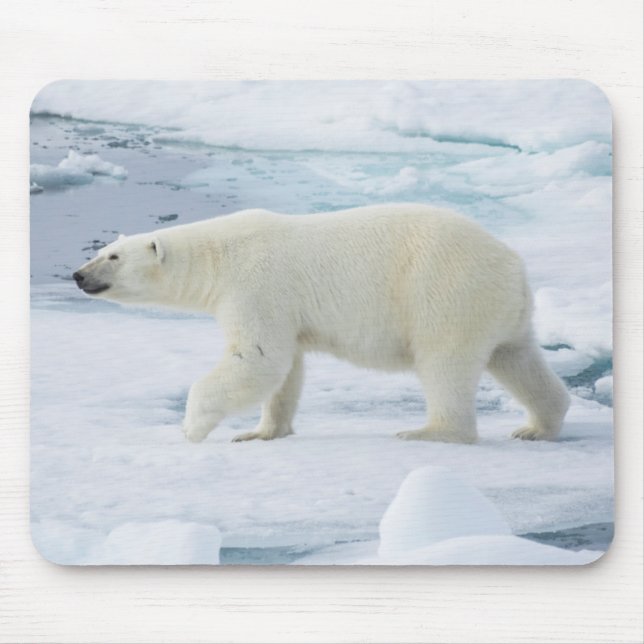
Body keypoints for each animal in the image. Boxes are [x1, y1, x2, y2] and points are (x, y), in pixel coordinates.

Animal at [72, 203, 570, 444]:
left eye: (112, 257)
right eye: (100, 251)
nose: (77, 275)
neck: (217, 257)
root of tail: (512, 264)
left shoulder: (257, 285)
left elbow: (258, 358)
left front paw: (192, 428)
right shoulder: (282, 308)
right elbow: (285, 370)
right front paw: (259, 432)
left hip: (444, 291)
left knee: (444, 363)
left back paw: (430, 431)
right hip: (500, 308)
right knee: (517, 357)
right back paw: (537, 425)